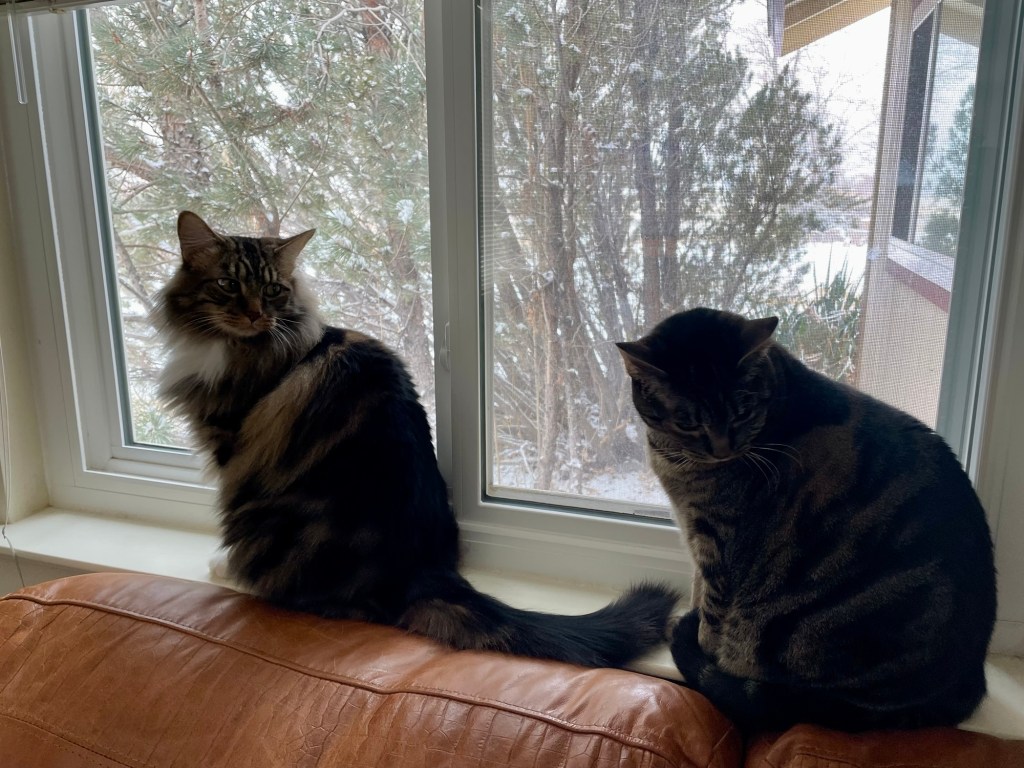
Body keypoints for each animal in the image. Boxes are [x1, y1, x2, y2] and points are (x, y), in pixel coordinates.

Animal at [155, 210, 678, 667]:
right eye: (227, 284)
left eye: (271, 289)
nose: (254, 315)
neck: (241, 346)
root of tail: (422, 567)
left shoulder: (228, 446)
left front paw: (221, 564)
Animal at [617, 307, 996, 730]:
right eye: (688, 422)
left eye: (742, 413)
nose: (723, 449)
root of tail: (965, 680)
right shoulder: (695, 532)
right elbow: (699, 588)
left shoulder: (717, 543)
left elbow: (712, 614)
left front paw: (700, 645)